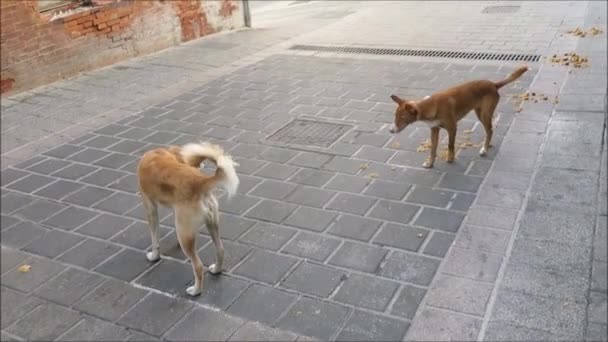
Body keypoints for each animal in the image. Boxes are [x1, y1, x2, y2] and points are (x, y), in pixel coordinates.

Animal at [138, 142, 240, 296]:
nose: (201, 166)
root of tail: (199, 182)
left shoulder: (149, 206)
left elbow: (155, 239)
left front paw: (154, 256)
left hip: (185, 234)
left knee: (198, 266)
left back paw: (195, 291)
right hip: (212, 223)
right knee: (220, 250)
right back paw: (216, 270)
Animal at [390, 65, 528, 168]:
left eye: (402, 117)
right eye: (395, 116)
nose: (391, 130)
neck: (431, 105)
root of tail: (493, 84)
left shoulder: (452, 128)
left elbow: (450, 145)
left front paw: (450, 159)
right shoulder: (434, 130)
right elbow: (433, 149)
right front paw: (430, 163)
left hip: (483, 114)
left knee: (489, 130)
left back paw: (484, 149)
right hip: (481, 112)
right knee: (491, 128)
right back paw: (488, 145)